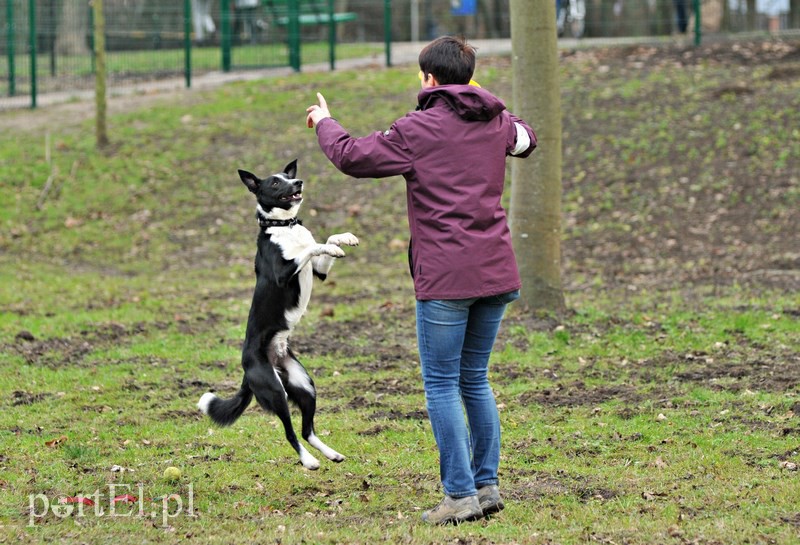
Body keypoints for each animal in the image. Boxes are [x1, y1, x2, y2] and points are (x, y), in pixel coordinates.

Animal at [200, 159, 360, 470]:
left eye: (288, 176)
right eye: (275, 183)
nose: (298, 183)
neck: (285, 225)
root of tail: (249, 368)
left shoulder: (319, 272)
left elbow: (325, 240)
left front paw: (343, 239)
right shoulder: (284, 273)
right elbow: (310, 247)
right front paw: (329, 246)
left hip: (305, 385)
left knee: (307, 430)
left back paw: (330, 454)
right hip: (276, 391)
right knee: (290, 433)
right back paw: (309, 461)